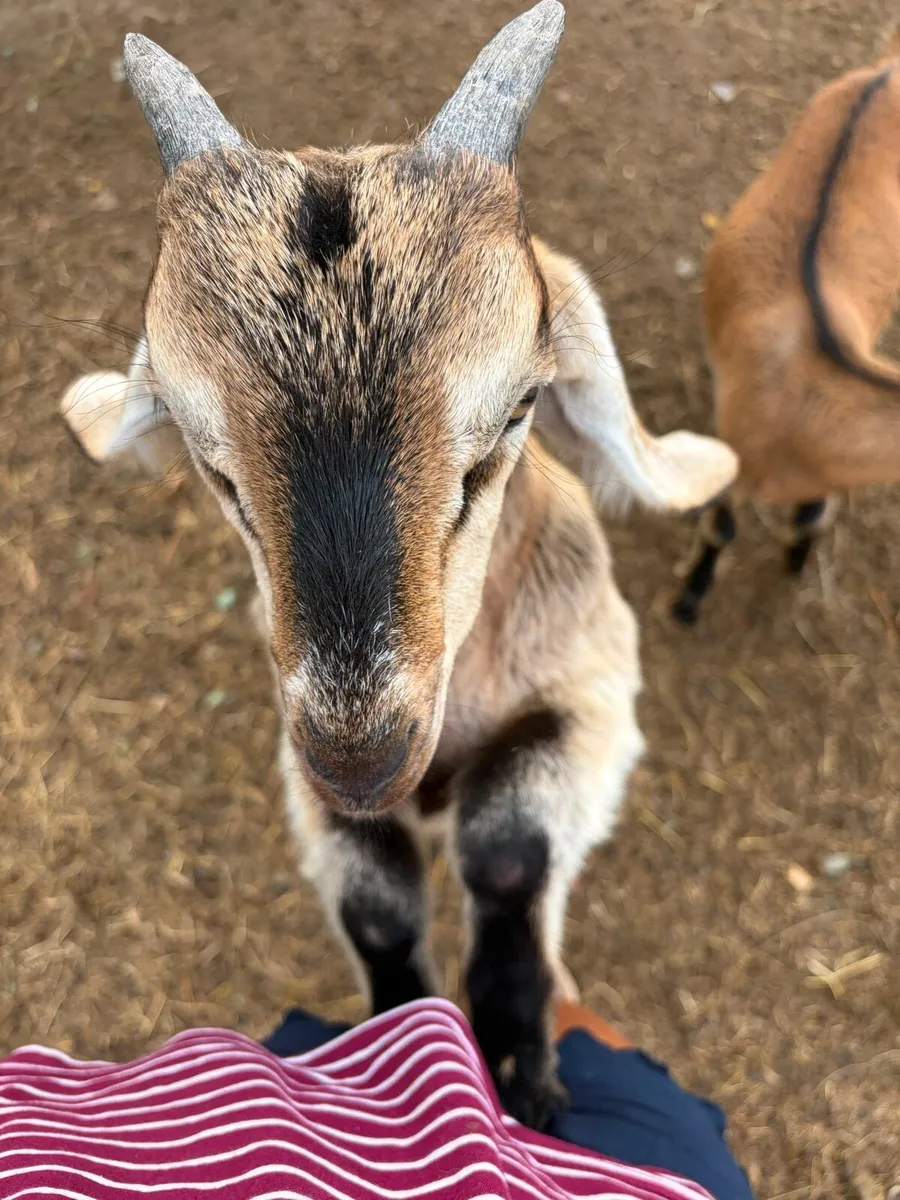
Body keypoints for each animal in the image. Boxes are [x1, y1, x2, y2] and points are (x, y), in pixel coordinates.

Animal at [61, 2, 736, 1127]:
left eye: (517, 409)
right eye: (213, 465)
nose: (360, 760)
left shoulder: (596, 697)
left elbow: (507, 852)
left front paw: (520, 1063)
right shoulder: (301, 773)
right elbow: (376, 907)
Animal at [672, 26, 900, 625]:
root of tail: (886, 69)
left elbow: (811, 517)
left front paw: (796, 563)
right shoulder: (737, 464)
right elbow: (721, 528)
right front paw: (689, 598)